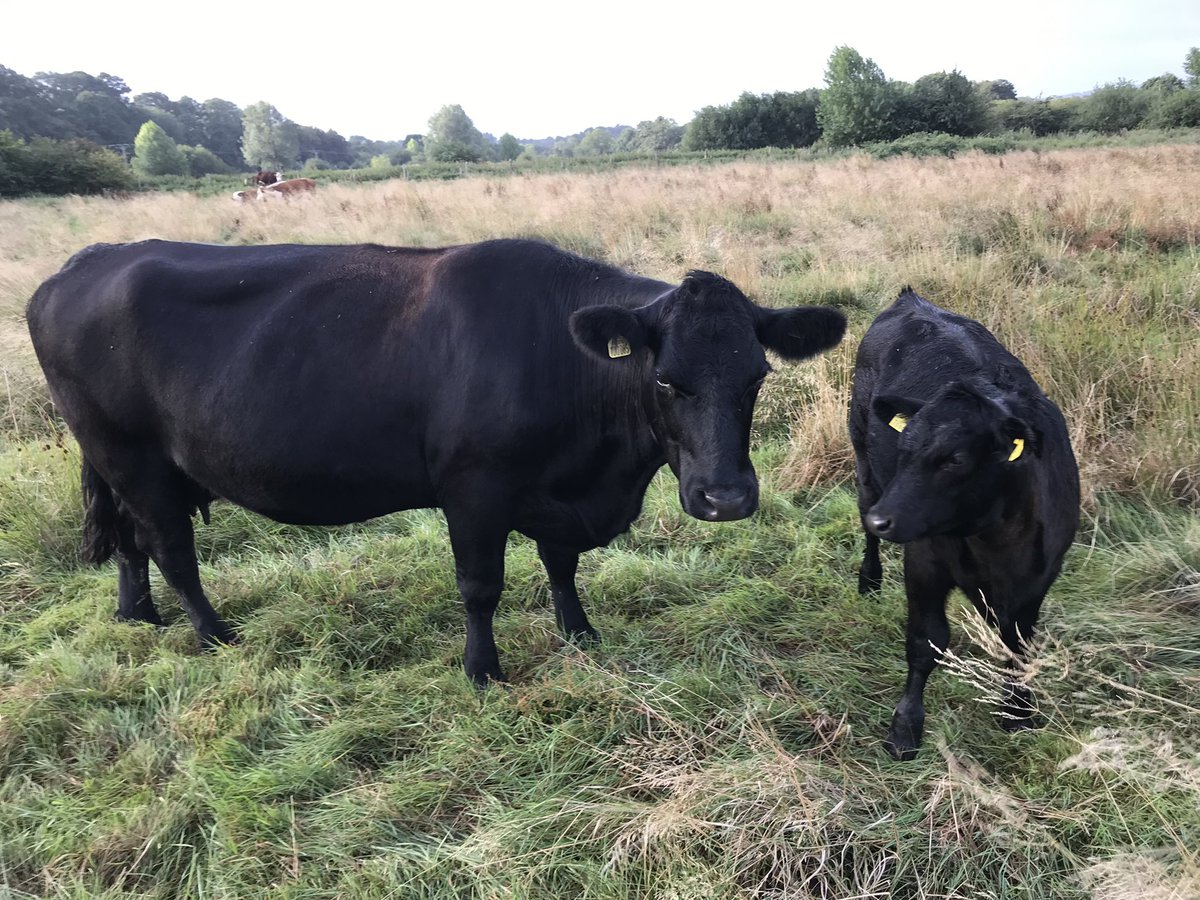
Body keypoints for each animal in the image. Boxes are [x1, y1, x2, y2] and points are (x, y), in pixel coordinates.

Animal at [27, 238, 846, 686]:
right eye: (667, 380)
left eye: (757, 377)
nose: (725, 497)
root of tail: (88, 261)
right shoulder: (474, 489)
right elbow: (480, 586)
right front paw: (483, 671)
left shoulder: (558, 491)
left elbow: (561, 564)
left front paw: (579, 633)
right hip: (131, 453)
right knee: (170, 546)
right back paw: (212, 633)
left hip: (116, 459)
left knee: (129, 541)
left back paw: (137, 616)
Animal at [849, 289, 1079, 760]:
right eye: (904, 447)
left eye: (955, 459)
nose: (883, 519)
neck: (992, 539)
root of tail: (912, 300)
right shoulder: (924, 564)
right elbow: (926, 642)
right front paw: (906, 726)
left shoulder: (1039, 577)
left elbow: (1017, 645)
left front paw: (1018, 709)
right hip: (864, 466)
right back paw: (869, 579)